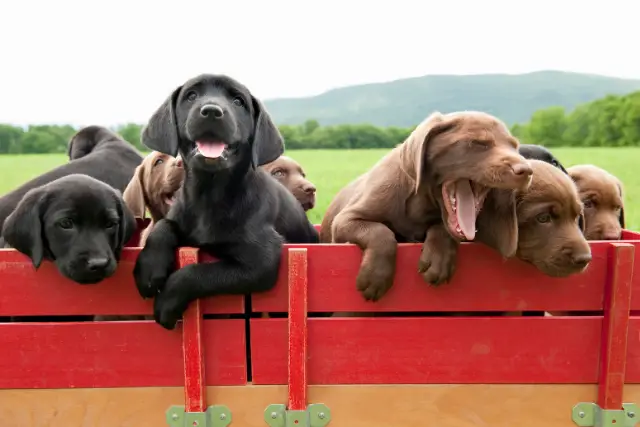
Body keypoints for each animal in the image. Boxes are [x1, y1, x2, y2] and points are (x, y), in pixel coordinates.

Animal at [133, 73, 320, 330]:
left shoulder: (260, 263)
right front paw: (150, 269)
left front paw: (166, 303)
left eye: (238, 101)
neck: (210, 194)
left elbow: (195, 273)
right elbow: (163, 225)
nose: (212, 111)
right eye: (191, 95)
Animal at [322, 112, 532, 302]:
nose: (527, 170)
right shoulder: (344, 220)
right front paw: (376, 276)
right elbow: (380, 232)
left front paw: (438, 261)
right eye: (478, 143)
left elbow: (442, 227)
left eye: (514, 147)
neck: (419, 206)